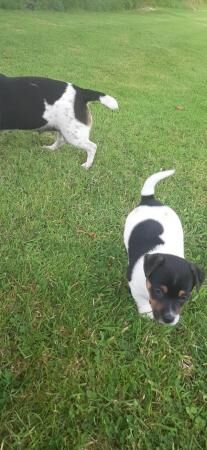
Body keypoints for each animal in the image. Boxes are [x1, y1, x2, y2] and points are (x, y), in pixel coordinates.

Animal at [123, 171, 205, 326]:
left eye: (184, 297)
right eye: (158, 291)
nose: (169, 319)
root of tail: (150, 201)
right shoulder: (134, 286)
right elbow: (141, 300)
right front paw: (146, 313)